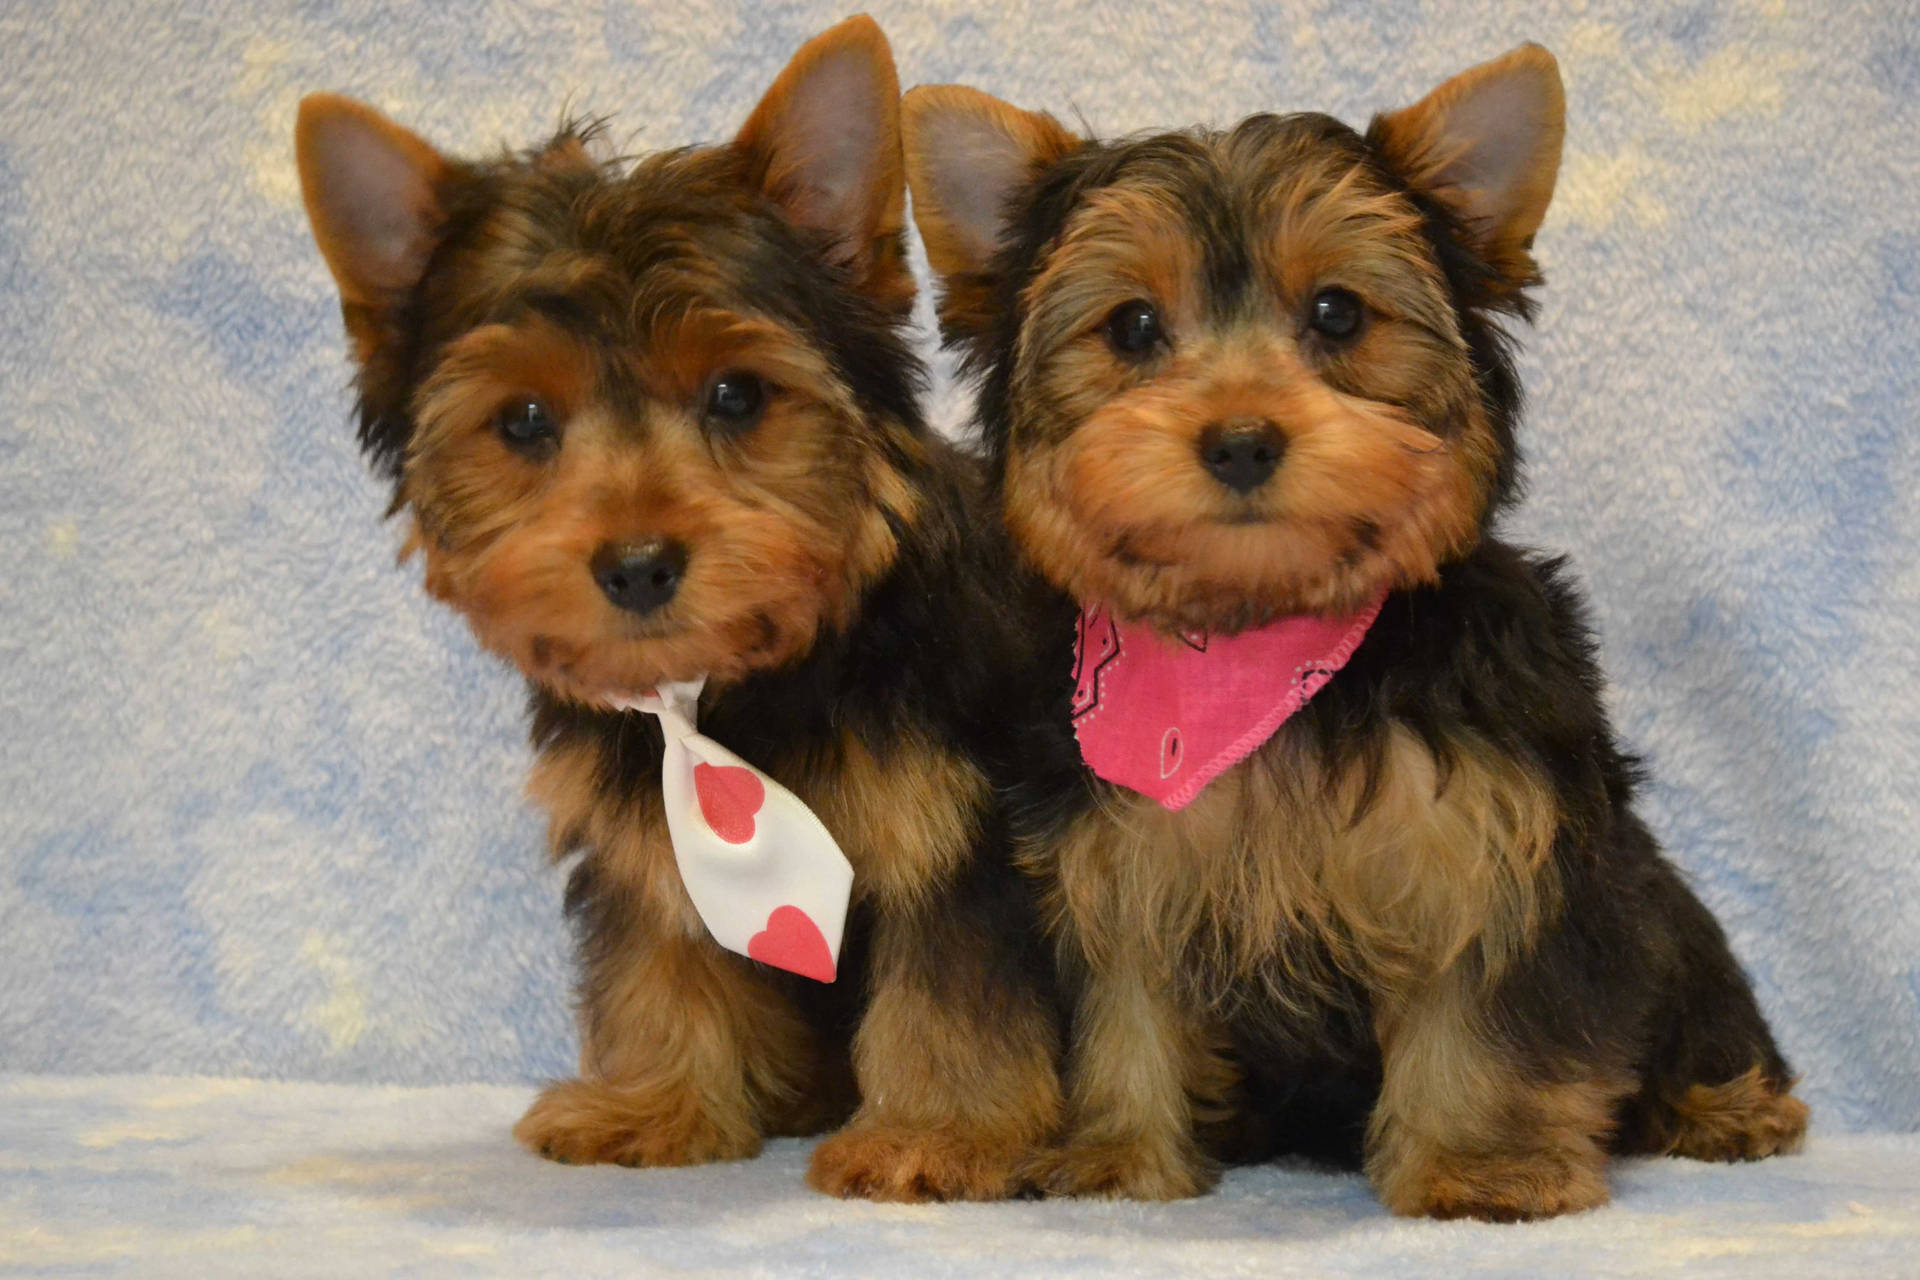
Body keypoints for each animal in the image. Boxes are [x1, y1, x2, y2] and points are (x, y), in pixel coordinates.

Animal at [291, 17, 1059, 1205]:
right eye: (524, 420)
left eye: (737, 394)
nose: (639, 563)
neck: (748, 678)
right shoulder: (640, 823)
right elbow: (658, 938)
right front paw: (654, 1101)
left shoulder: (958, 817)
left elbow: (956, 977)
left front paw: (936, 1129)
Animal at [906, 45, 1804, 1220]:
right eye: (1134, 328)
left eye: (1338, 313)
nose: (1242, 438)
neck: (1259, 645)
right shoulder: (1118, 847)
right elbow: (1125, 995)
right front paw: (1116, 1154)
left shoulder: (1498, 834)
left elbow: (1492, 1010)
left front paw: (1484, 1164)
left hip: (1652, 894)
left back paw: (1729, 1104)